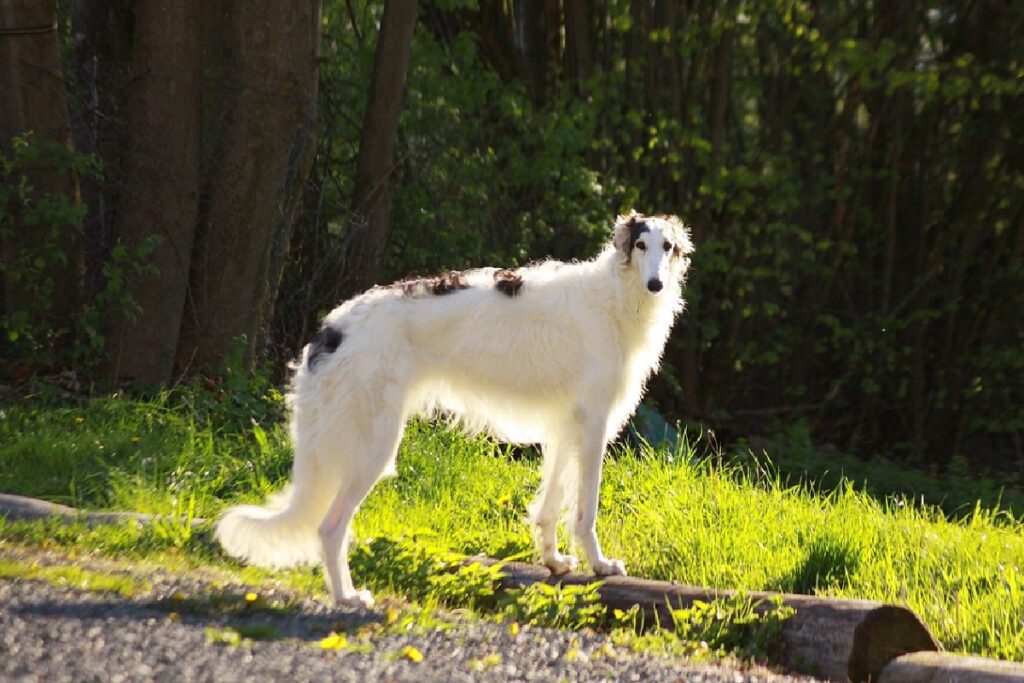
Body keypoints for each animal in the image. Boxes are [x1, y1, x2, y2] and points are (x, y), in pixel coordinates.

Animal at [216, 210, 696, 606]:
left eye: (668, 247)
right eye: (641, 245)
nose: (656, 284)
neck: (614, 297)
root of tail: (332, 329)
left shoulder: (566, 427)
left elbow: (550, 506)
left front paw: (555, 561)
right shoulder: (593, 424)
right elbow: (584, 511)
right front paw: (600, 565)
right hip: (373, 447)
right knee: (329, 528)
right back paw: (347, 597)